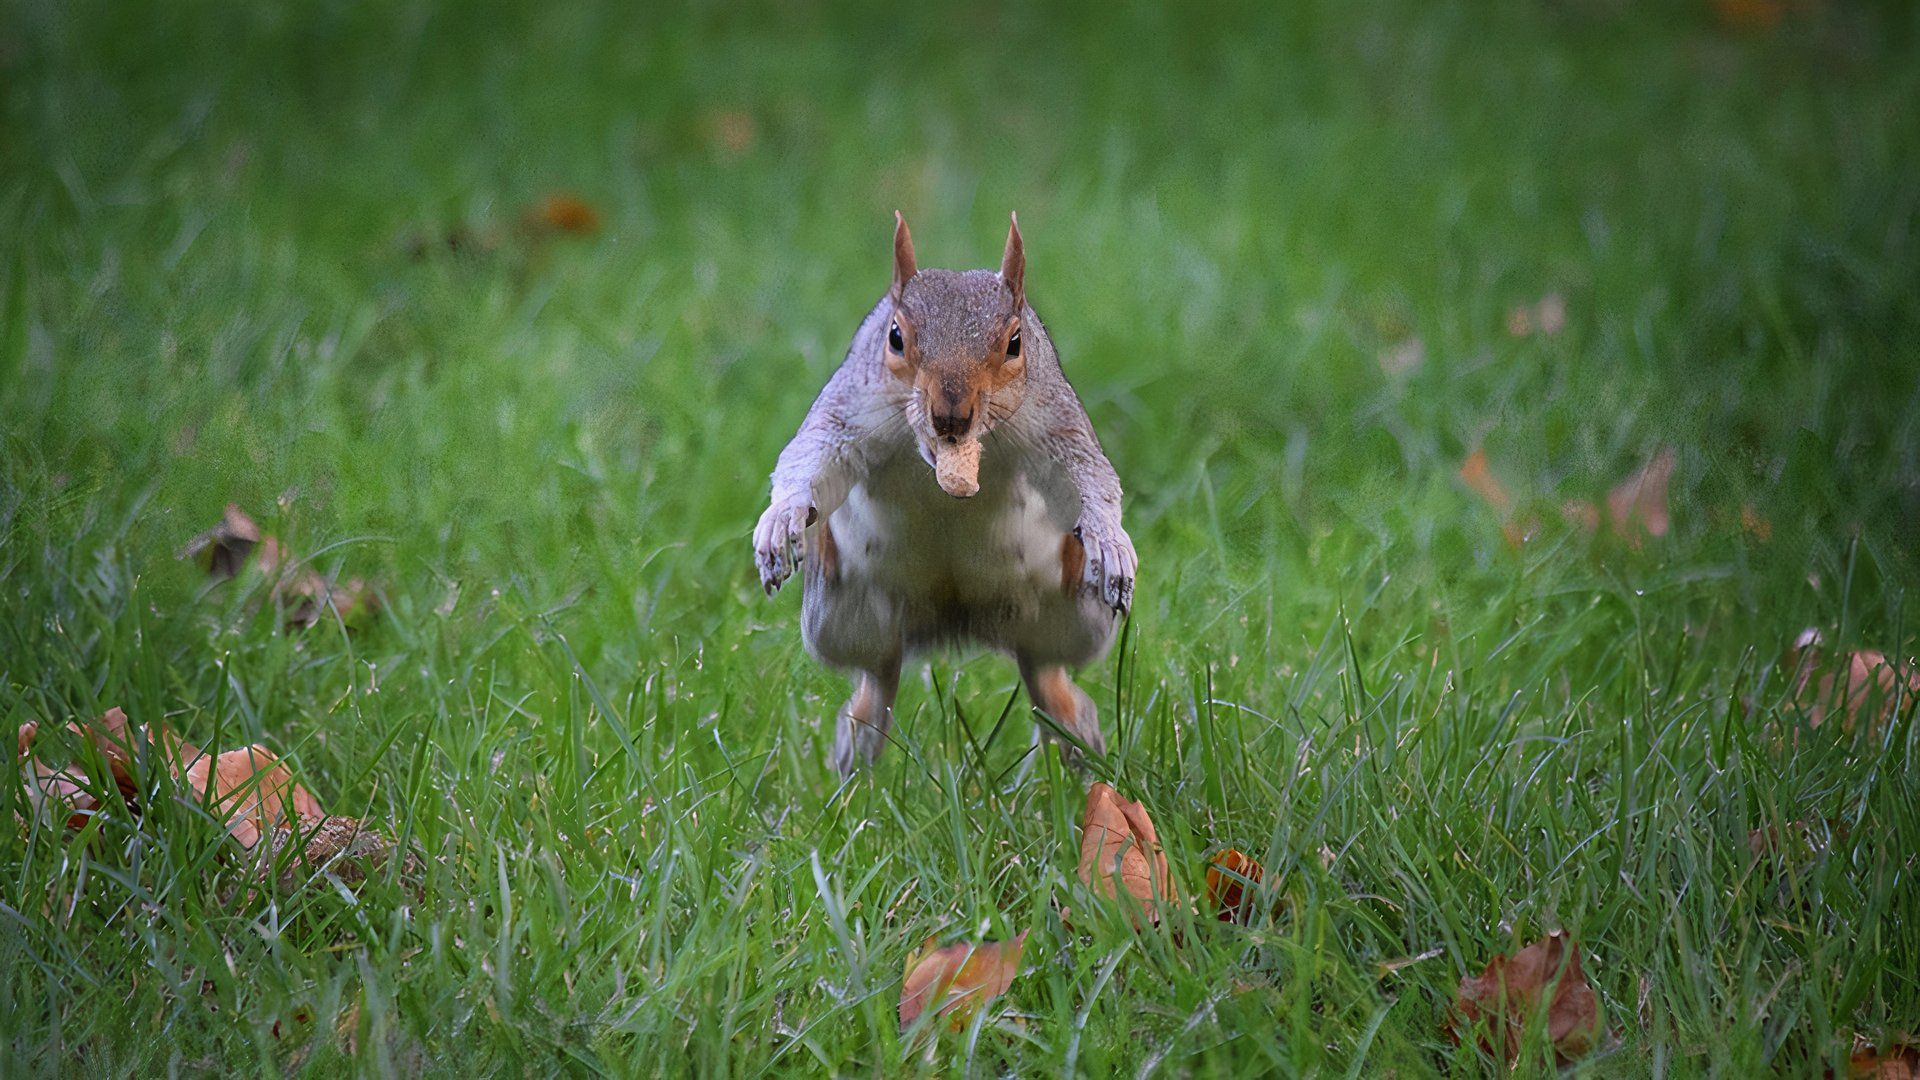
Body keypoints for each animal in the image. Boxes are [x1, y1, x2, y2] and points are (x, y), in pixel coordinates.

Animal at [752, 212, 1136, 772]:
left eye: (1015, 343)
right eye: (894, 336)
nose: (950, 414)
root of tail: (955, 618)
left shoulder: (1056, 426)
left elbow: (1088, 477)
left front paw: (1109, 539)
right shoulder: (848, 414)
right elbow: (811, 456)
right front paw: (782, 518)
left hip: (1070, 618)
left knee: (1053, 681)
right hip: (843, 617)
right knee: (877, 680)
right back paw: (855, 762)